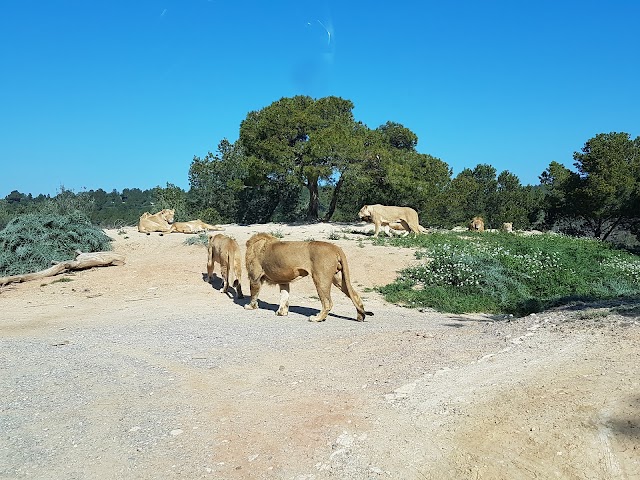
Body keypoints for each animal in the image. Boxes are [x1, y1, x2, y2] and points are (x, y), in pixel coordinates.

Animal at [245, 232, 376, 322]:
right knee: (355, 295)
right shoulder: (284, 281)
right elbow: (284, 297)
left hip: (320, 278)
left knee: (327, 303)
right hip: (338, 279)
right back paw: (360, 316)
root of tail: (336, 248)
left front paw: (250, 307)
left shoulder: (254, 277)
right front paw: (282, 313)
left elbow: (254, 294)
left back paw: (317, 318)